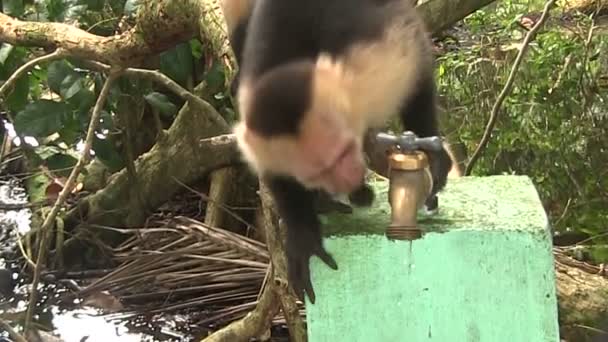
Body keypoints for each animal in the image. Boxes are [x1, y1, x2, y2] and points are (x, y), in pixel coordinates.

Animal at [222, 0, 452, 304]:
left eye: (343, 153)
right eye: (318, 173)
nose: (346, 179)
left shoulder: (375, 73)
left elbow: (418, 64)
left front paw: (430, 149)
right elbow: (274, 172)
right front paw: (302, 232)